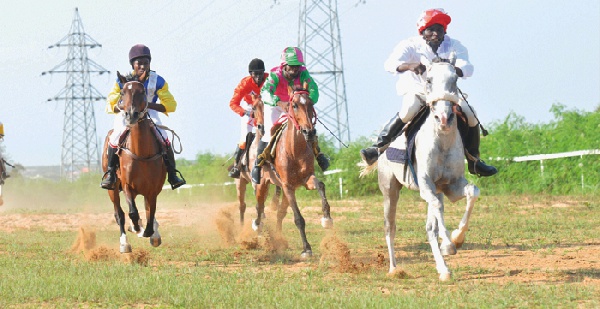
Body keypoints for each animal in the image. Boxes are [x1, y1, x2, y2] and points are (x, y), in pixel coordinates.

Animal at [101, 71, 165, 253]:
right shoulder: (127, 185)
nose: (131, 115)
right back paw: (125, 242)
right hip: (113, 189)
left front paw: (151, 233)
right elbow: (133, 213)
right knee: (119, 214)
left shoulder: (153, 189)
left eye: (142, 92)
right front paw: (136, 228)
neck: (140, 153)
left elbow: (151, 214)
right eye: (123, 93)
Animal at [233, 95, 282, 223]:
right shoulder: (256, 180)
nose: (262, 126)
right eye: (254, 107)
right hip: (240, 182)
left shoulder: (269, 179)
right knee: (242, 205)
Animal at [250, 86, 330, 258]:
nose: (309, 132)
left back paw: (279, 238)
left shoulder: (306, 179)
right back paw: (257, 228)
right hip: (262, 185)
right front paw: (307, 248)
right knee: (259, 208)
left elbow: (320, 185)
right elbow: (298, 219)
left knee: (280, 212)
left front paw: (327, 218)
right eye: (294, 105)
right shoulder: (287, 186)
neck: (294, 151)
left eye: (310, 104)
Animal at [364, 60, 480, 280]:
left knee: (430, 227)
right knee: (390, 227)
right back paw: (394, 268)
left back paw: (443, 269)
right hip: (390, 190)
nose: (443, 118)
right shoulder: (426, 185)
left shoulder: (451, 186)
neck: (442, 141)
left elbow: (472, 192)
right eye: (429, 79)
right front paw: (449, 244)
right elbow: (436, 208)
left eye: (455, 79)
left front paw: (457, 238)